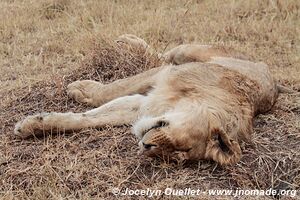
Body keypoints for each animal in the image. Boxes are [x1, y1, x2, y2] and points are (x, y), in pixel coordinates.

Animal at [15, 34, 284, 165]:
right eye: (182, 146)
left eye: (177, 156)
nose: (147, 148)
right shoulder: (165, 75)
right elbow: (112, 89)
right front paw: (81, 89)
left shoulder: (141, 108)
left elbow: (87, 119)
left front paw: (33, 126)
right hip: (191, 53)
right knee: (161, 54)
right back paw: (127, 41)